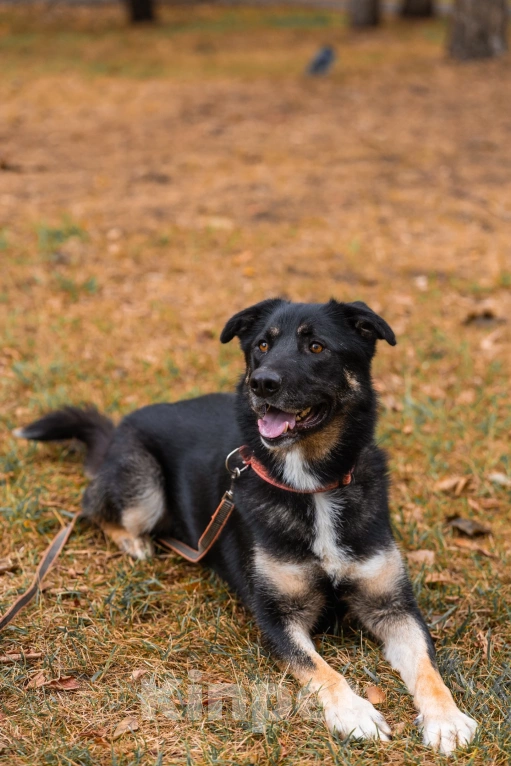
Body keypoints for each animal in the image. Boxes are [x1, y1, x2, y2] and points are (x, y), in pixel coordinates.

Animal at [17, 300, 480, 756]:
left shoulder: (393, 606)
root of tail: (116, 430)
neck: (311, 485)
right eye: (262, 345)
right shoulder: (275, 617)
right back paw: (134, 543)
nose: (262, 383)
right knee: (93, 507)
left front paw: (446, 720)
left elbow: (427, 668)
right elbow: (322, 669)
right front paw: (354, 713)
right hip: (143, 488)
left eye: (316, 346)